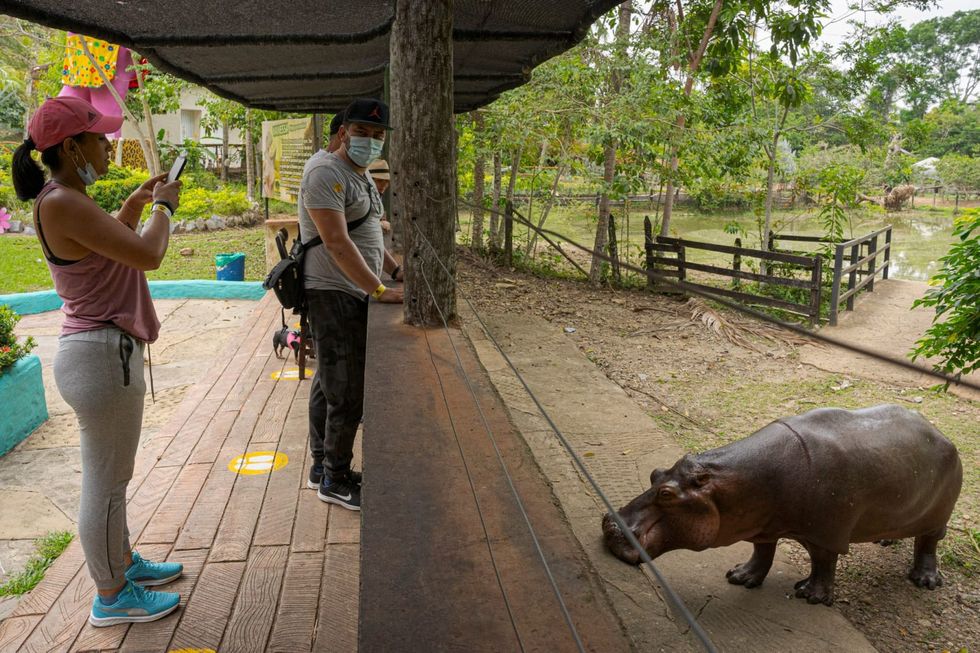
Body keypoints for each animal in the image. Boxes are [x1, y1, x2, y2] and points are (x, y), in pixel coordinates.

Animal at [602, 405, 962, 605]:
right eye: (654, 473)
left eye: (667, 494)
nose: (610, 523)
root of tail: (942, 434)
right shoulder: (761, 524)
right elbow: (762, 552)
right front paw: (740, 577)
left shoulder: (826, 533)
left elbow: (822, 562)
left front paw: (811, 596)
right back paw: (884, 540)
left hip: (938, 514)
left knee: (928, 543)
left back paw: (926, 581)